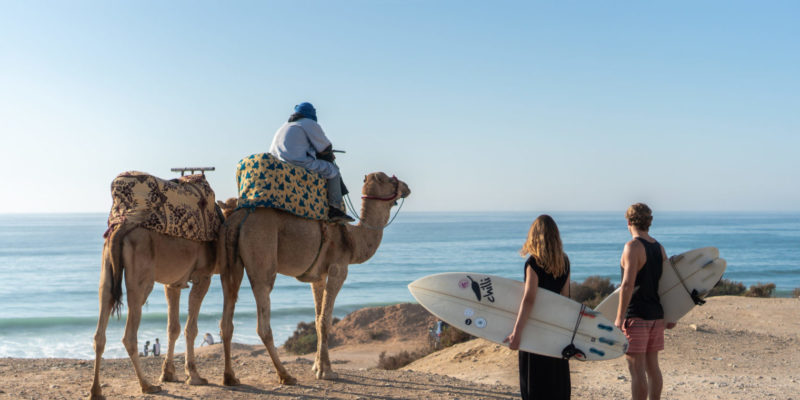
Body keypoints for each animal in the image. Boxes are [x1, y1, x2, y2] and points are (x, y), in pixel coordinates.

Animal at [89, 198, 238, 398]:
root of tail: (119, 230)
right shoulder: (202, 276)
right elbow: (191, 328)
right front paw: (194, 376)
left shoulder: (173, 283)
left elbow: (173, 328)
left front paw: (168, 374)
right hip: (142, 279)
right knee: (129, 334)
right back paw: (147, 385)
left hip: (107, 272)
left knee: (100, 328)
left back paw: (96, 390)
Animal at [216, 171, 410, 384]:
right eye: (390, 179)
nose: (406, 187)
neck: (353, 239)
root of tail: (238, 217)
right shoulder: (338, 269)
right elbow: (326, 319)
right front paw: (327, 372)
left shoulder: (318, 276)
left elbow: (317, 319)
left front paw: (317, 366)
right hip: (262, 256)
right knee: (263, 323)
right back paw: (285, 375)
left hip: (229, 262)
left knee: (227, 314)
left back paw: (229, 377)